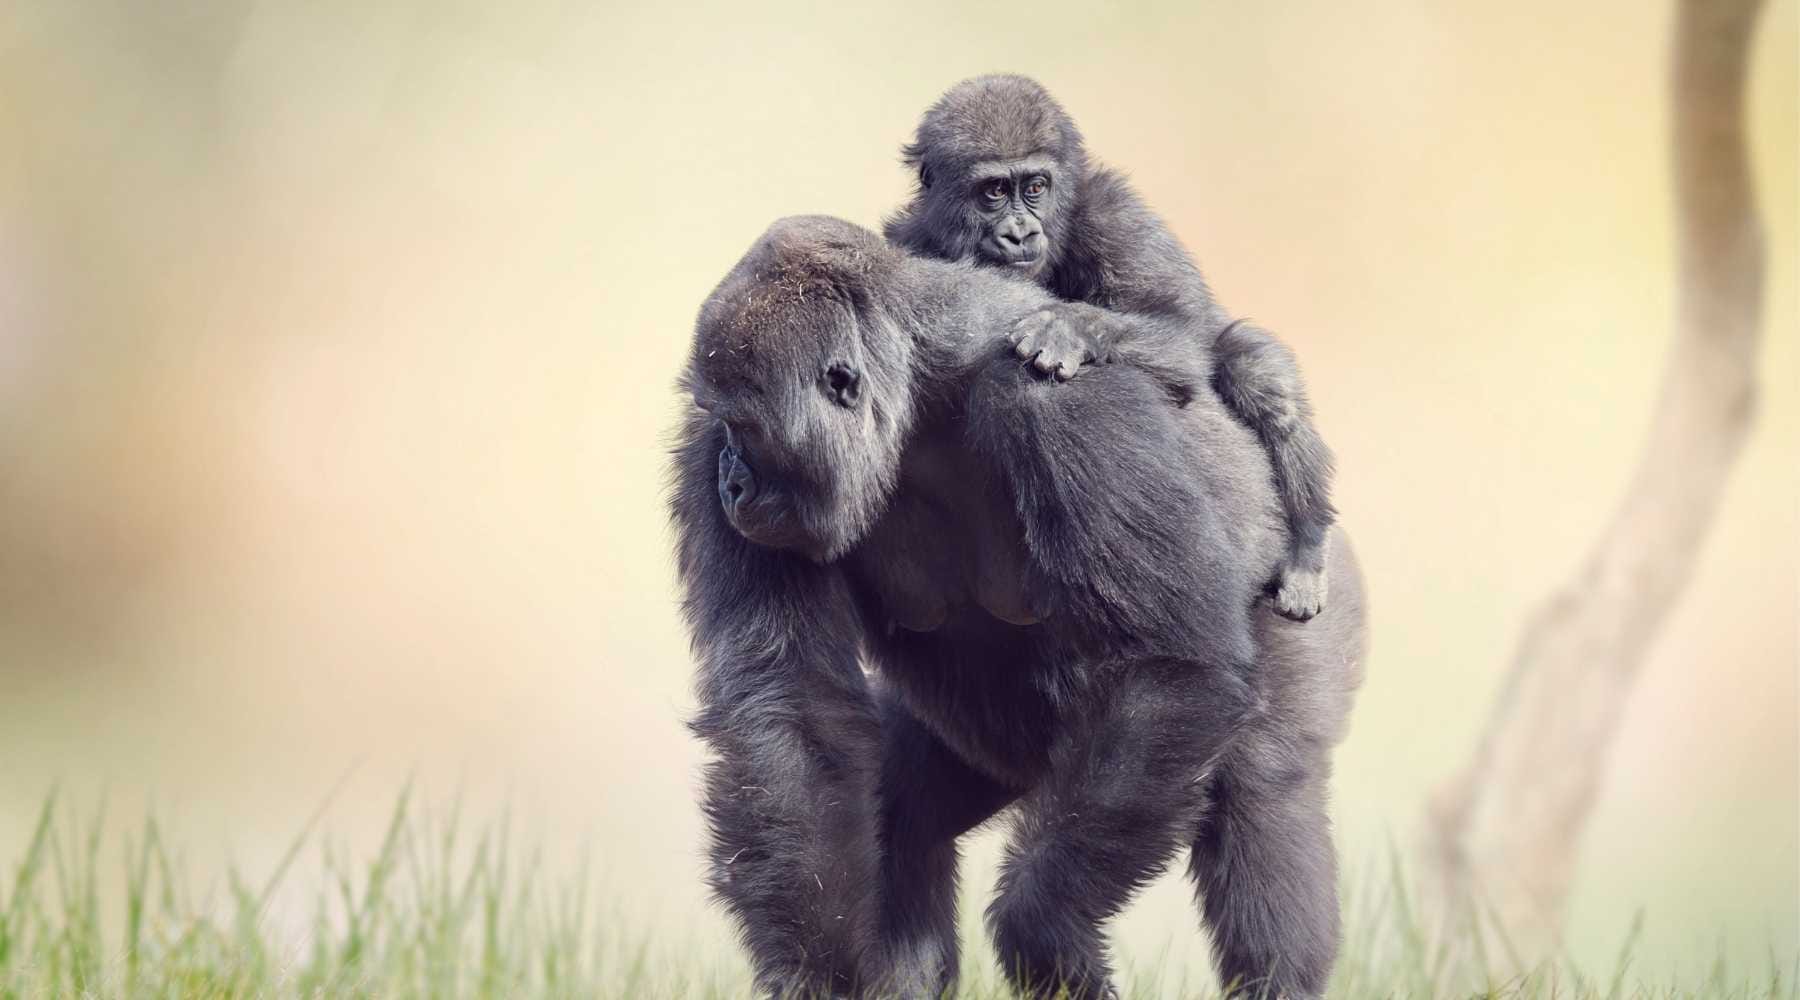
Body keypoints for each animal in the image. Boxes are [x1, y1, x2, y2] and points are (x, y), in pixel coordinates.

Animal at [670, 215, 1365, 999]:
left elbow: (1170, 665)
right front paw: (824, 974)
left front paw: (1047, 929)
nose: (730, 484)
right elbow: (791, 713)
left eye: (748, 429)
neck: (912, 390)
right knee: (904, 810)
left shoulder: (1056, 396)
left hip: (1310, 590)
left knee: (1264, 791)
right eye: (723, 425)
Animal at [884, 74, 1337, 622]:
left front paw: (1072, 328)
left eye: (1035, 188)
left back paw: (1306, 549)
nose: (1020, 233)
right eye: (993, 191)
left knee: (1260, 378)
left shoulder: (1115, 214)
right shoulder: (909, 245)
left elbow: (1182, 335)